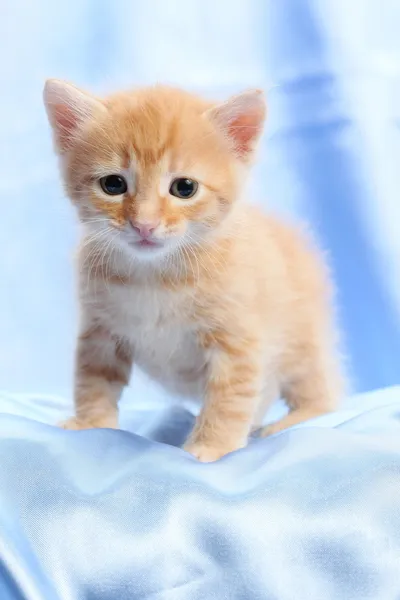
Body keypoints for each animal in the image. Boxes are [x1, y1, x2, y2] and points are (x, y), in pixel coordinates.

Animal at [43, 79, 344, 462]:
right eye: (113, 184)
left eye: (184, 188)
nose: (144, 225)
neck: (155, 275)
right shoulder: (99, 331)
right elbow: (91, 379)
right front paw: (90, 424)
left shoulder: (236, 340)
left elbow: (228, 396)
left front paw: (212, 446)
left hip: (303, 337)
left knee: (321, 390)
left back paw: (294, 420)